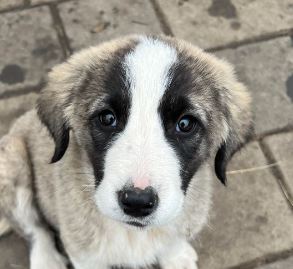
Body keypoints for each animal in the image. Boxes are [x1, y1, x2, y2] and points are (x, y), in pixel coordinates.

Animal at [0, 35, 251, 268]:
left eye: (185, 124)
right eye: (107, 118)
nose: (137, 202)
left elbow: (172, 241)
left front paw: (176, 256)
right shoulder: (84, 254)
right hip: (12, 159)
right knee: (34, 228)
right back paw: (46, 260)